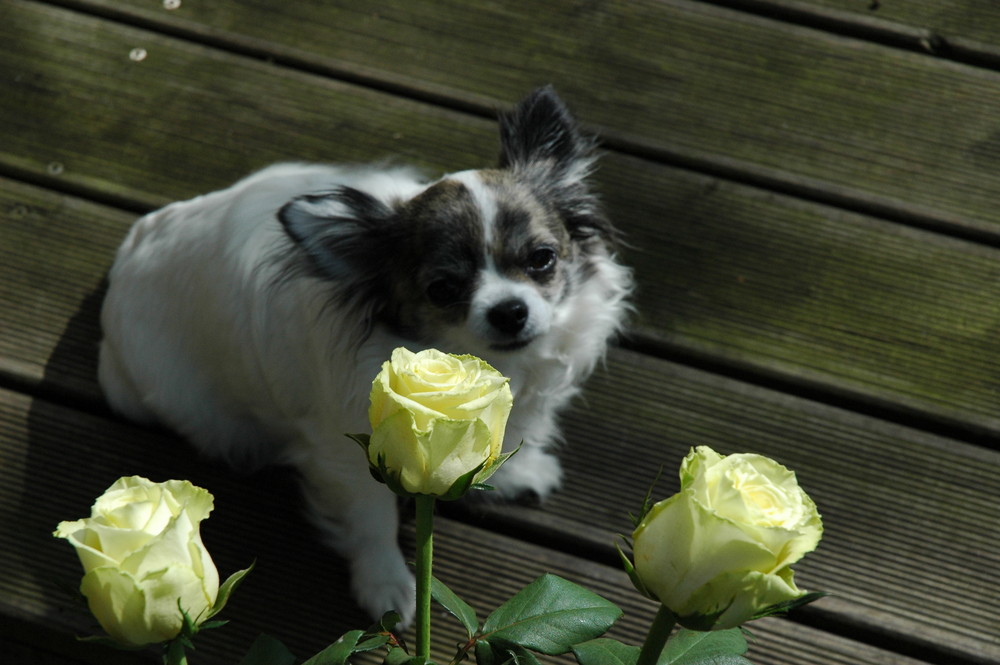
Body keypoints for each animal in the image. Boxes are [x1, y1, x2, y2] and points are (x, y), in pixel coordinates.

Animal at [97, 87, 628, 624]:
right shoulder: (346, 454)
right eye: (443, 289)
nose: (510, 311)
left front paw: (521, 469)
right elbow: (372, 517)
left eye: (542, 259)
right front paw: (387, 582)